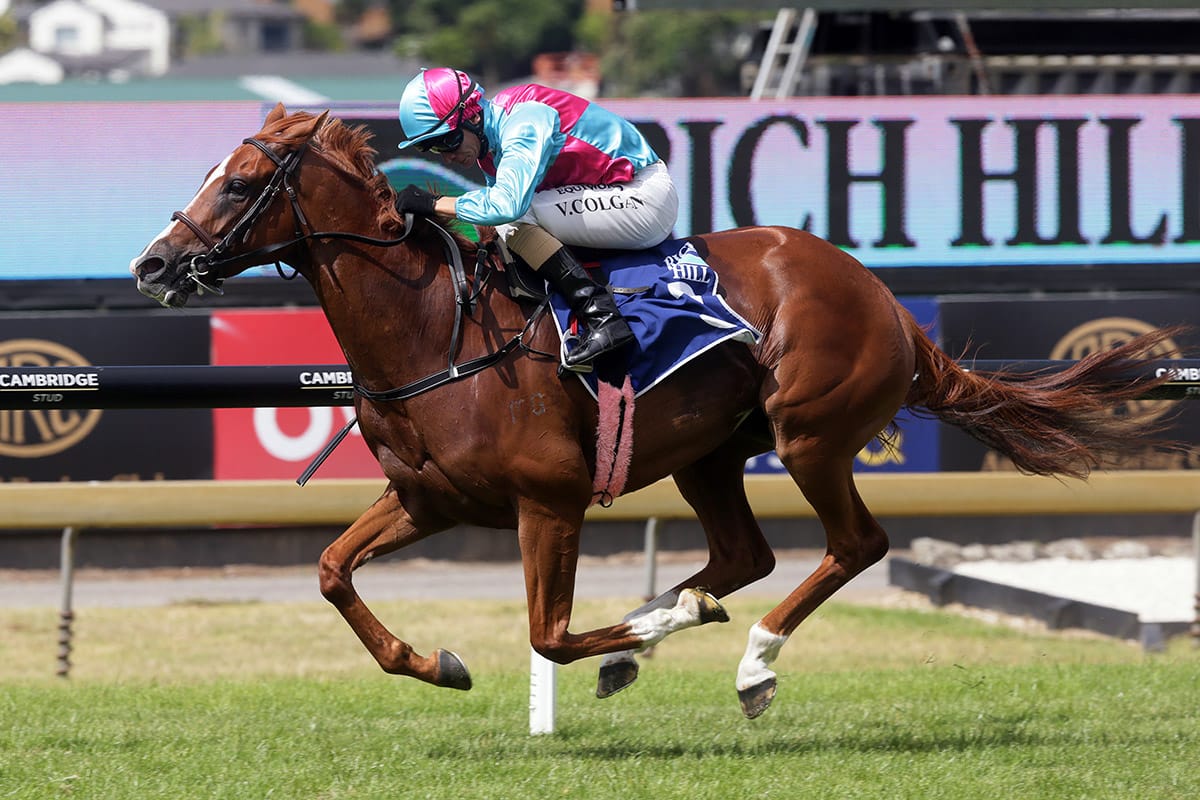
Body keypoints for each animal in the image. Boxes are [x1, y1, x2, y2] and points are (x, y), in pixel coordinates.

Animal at [130, 104, 1179, 719]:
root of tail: (883, 298)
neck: (434, 328)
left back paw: (748, 659)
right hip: (708, 453)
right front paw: (439, 662)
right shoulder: (430, 498)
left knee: (853, 546)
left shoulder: (548, 499)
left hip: (810, 434)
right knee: (745, 555)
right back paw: (674, 613)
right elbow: (330, 571)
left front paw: (638, 637)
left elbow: (548, 633)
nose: (151, 262)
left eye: (236, 183)